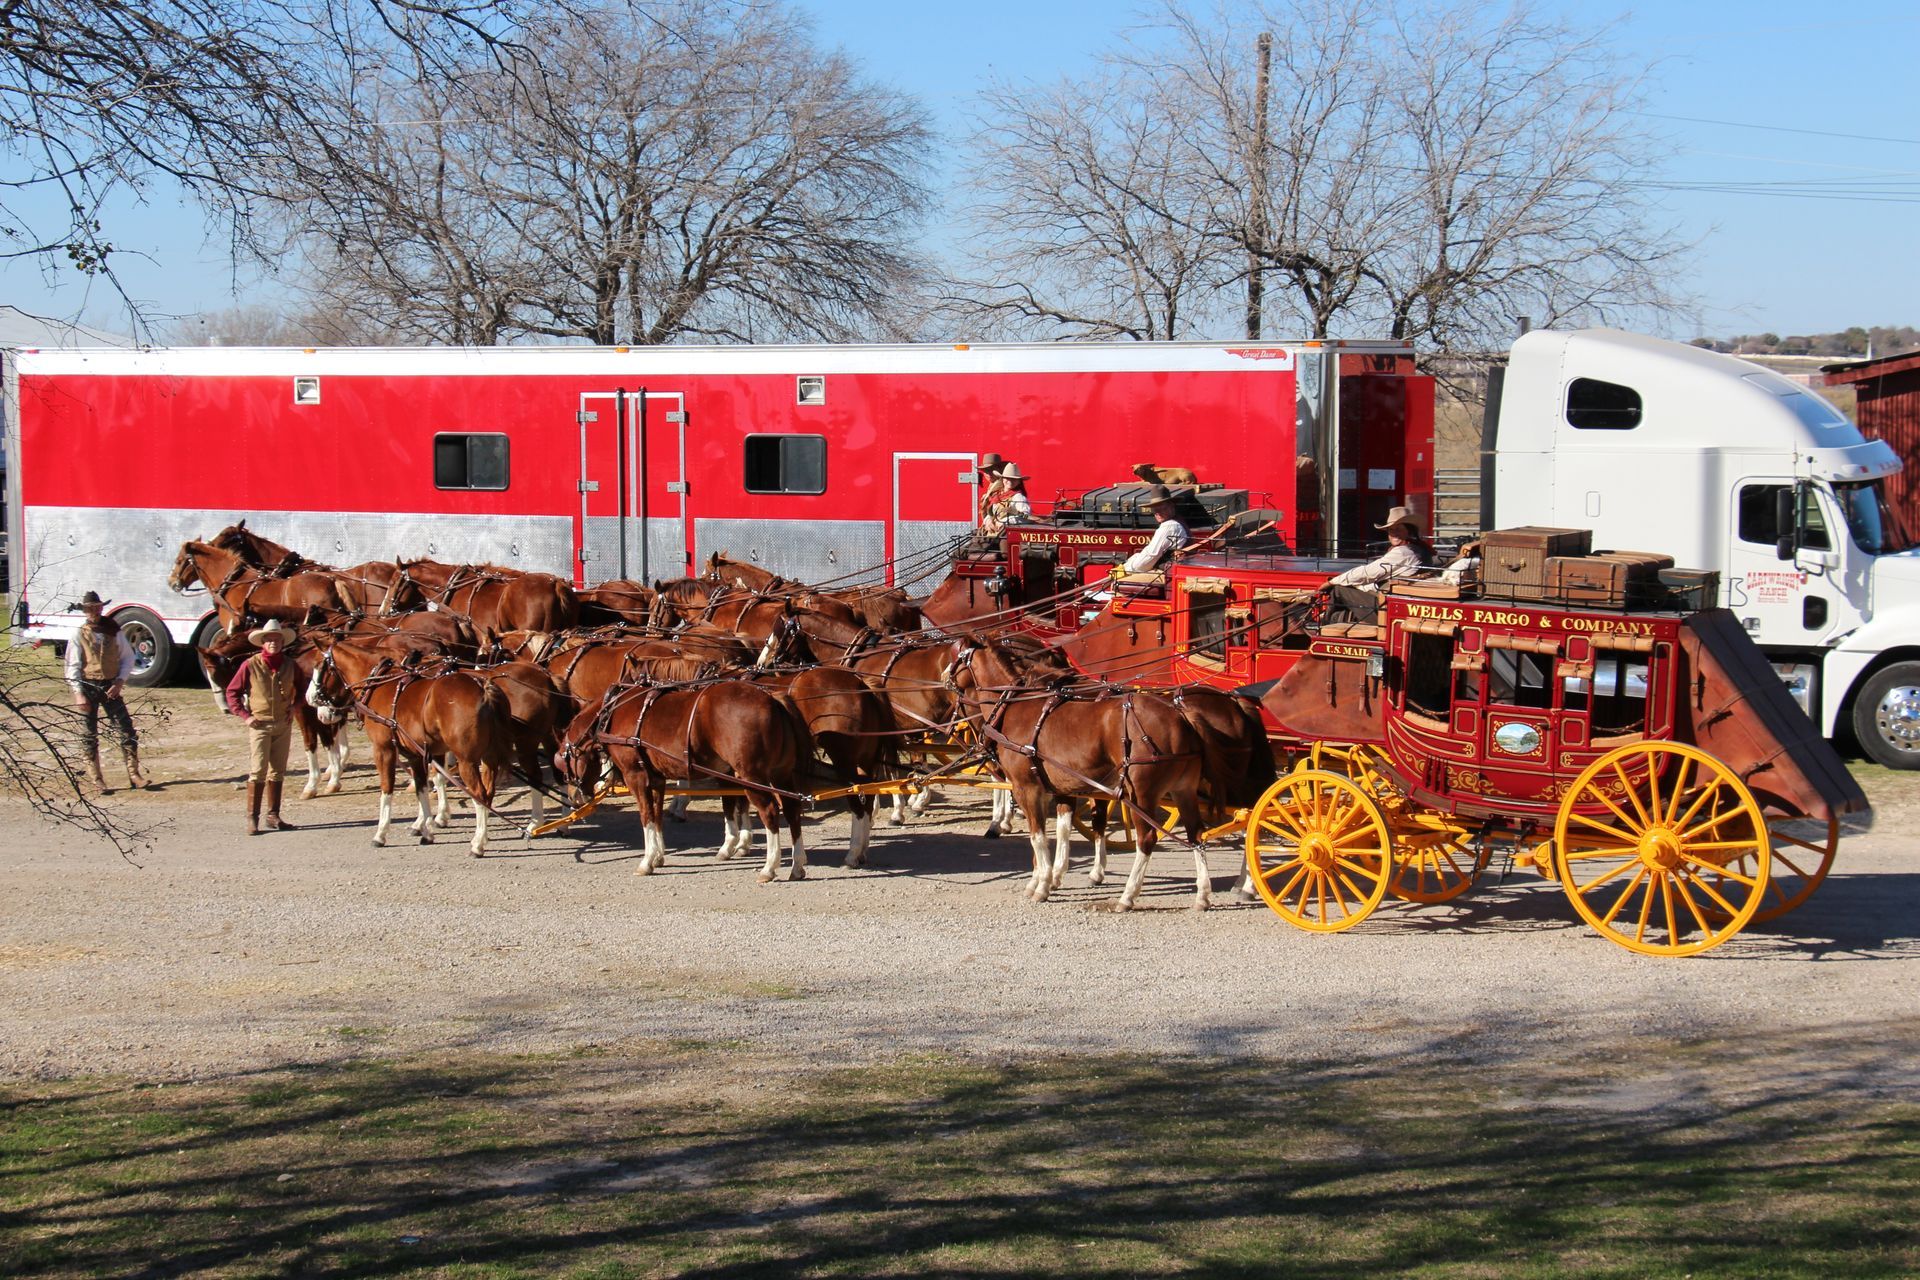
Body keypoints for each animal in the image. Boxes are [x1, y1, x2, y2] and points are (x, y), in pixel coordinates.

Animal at [305, 639, 518, 855]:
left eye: (319, 666)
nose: (310, 699)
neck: (379, 683)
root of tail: (483, 687)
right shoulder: (420, 754)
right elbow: (422, 788)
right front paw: (427, 830)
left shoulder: (383, 749)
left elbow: (387, 788)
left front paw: (381, 833)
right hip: (488, 757)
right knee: (488, 794)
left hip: (467, 760)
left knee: (479, 795)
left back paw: (478, 843)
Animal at [553, 677, 810, 881]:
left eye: (563, 760)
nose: (574, 796)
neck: (613, 712)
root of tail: (772, 699)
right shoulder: (656, 779)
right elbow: (656, 815)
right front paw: (658, 857)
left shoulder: (636, 776)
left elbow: (645, 816)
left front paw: (646, 861)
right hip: (781, 773)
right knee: (792, 810)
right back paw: (797, 865)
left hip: (751, 776)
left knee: (770, 812)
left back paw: (769, 867)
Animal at [944, 639, 1207, 909]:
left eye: (955, 658)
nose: (943, 678)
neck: (1018, 706)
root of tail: (1180, 716)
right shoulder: (1061, 787)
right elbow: (1061, 831)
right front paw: (1048, 877)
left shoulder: (1027, 788)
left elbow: (1037, 837)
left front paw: (1042, 885)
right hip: (1183, 790)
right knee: (1196, 833)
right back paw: (1202, 894)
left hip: (1141, 795)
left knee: (1146, 839)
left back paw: (1127, 895)